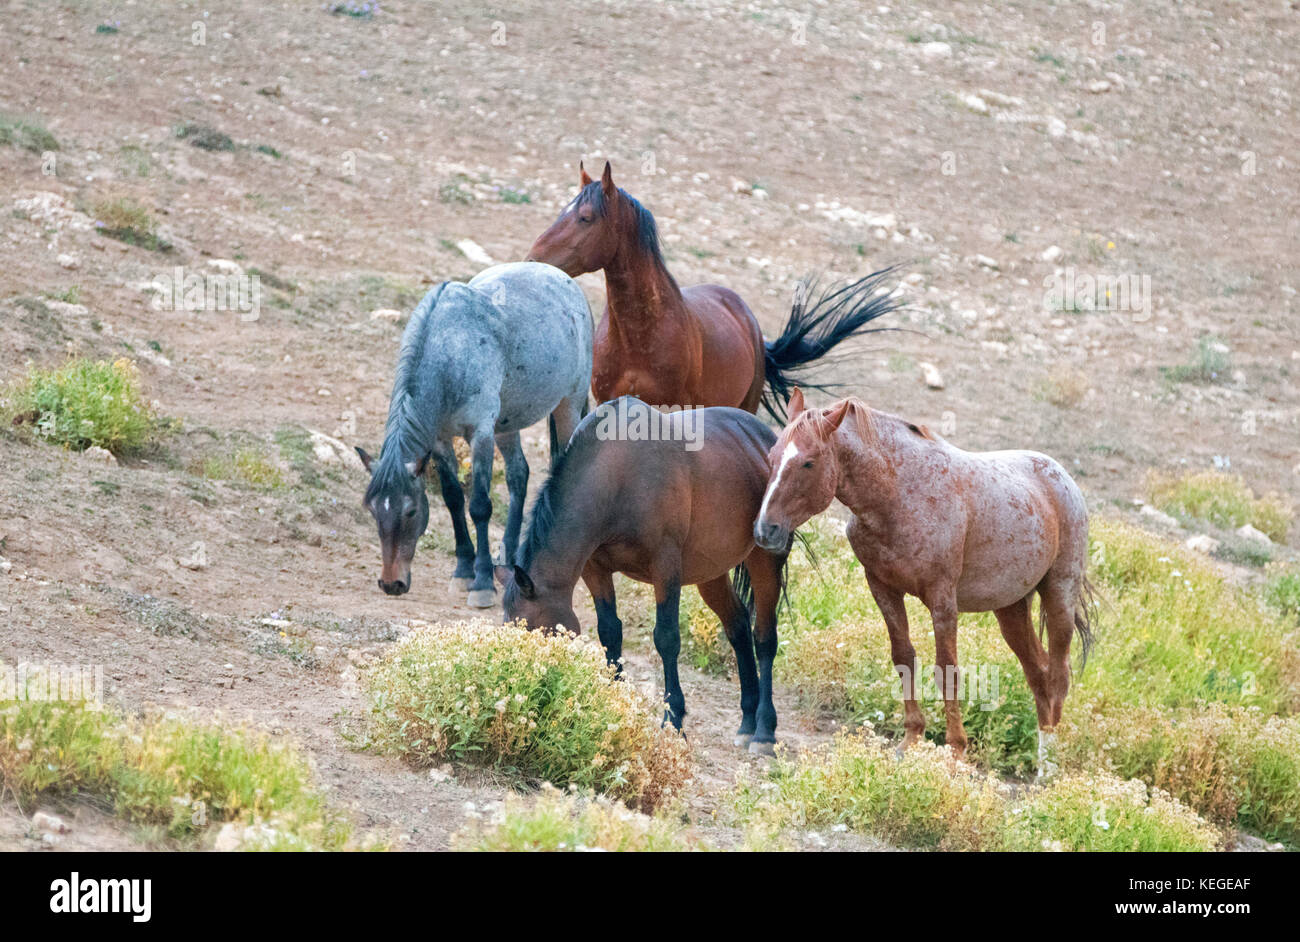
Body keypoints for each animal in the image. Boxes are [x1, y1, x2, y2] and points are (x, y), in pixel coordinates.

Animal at [358, 261, 595, 605]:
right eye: (373, 510)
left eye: (411, 511)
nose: (391, 583)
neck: (450, 349)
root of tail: (561, 277)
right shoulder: (440, 440)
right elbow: (454, 498)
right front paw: (462, 571)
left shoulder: (481, 434)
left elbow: (480, 506)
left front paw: (481, 582)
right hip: (507, 425)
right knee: (518, 475)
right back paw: (509, 561)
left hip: (568, 406)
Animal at [491, 397, 785, 748]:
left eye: (542, 634)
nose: (526, 695)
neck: (617, 476)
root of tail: (763, 437)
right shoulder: (595, 569)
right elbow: (610, 632)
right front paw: (614, 702)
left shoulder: (666, 567)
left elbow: (667, 638)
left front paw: (673, 721)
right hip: (710, 571)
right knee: (738, 626)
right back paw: (747, 720)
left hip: (765, 560)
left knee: (764, 637)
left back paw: (764, 730)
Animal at [759, 387, 1092, 769]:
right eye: (772, 455)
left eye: (808, 462)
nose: (765, 530)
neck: (899, 493)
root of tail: (1060, 476)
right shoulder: (882, 587)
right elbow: (904, 657)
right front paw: (912, 739)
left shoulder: (942, 600)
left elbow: (947, 670)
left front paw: (956, 751)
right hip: (1010, 608)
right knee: (1037, 673)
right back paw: (1042, 757)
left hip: (1059, 595)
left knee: (1058, 674)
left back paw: (1049, 767)